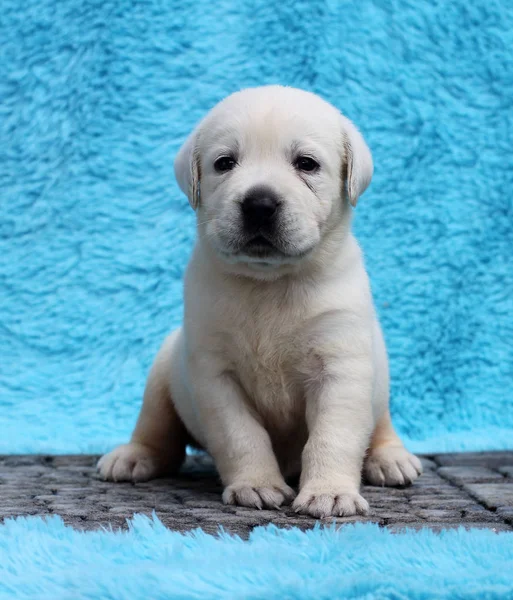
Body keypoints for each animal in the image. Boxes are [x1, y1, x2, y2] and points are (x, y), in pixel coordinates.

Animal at [98, 85, 422, 520]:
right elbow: (242, 436)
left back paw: (390, 459)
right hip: (163, 371)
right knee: (157, 431)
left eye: (306, 164)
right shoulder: (216, 377)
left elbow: (332, 436)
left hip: (380, 376)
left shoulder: (340, 368)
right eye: (224, 163)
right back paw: (133, 456)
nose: (260, 204)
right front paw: (256, 484)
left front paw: (329, 492)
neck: (270, 284)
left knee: (382, 424)